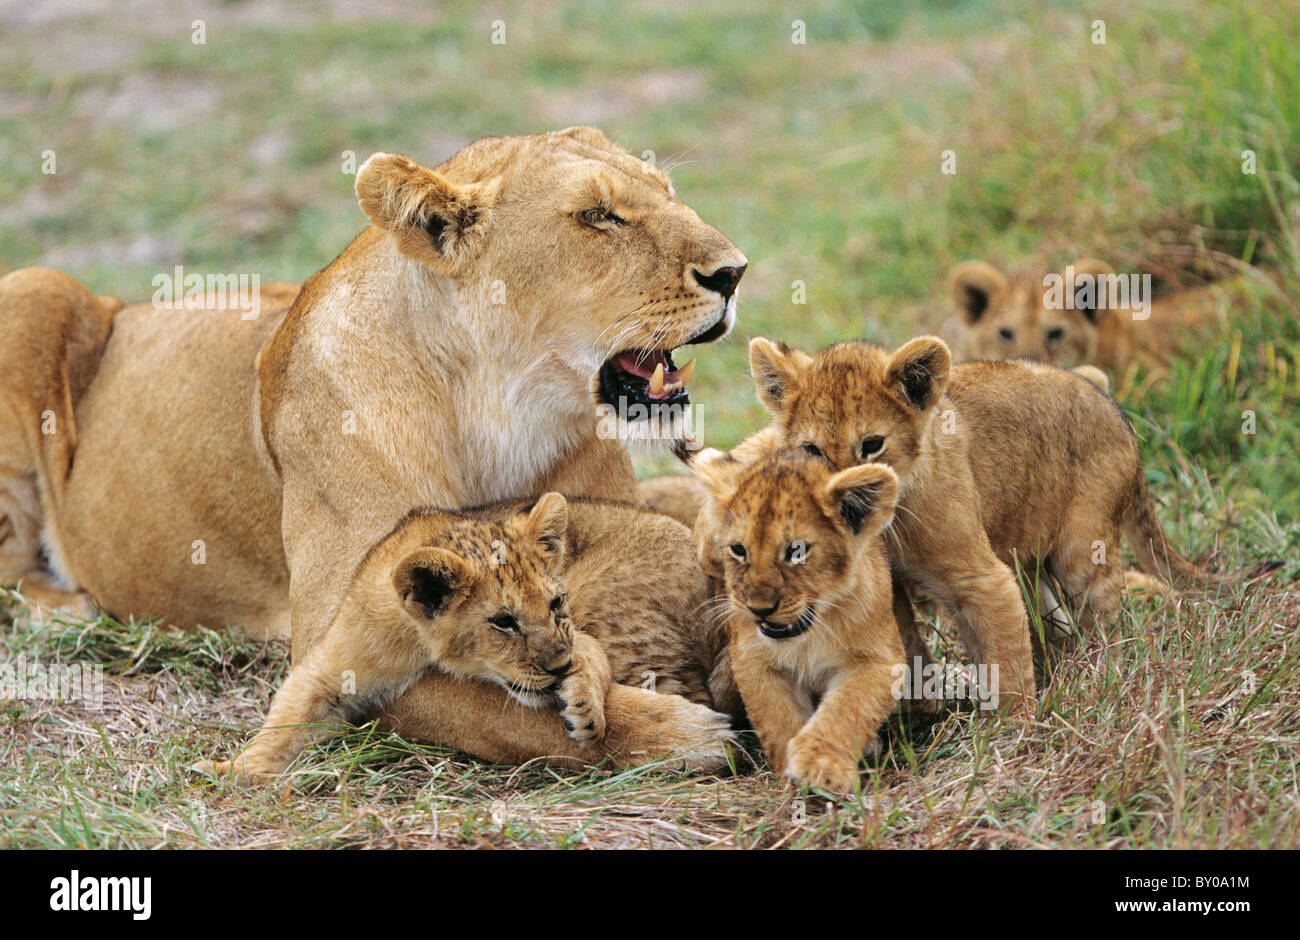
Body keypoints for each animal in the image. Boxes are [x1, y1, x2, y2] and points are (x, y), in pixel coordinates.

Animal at [202, 492, 735, 781]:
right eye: (503, 622)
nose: (558, 669)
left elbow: (588, 653)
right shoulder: (334, 666)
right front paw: (233, 773)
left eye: (554, 604)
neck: (420, 646)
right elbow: (288, 717)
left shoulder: (574, 629)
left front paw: (583, 705)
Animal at [688, 447, 906, 793]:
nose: (759, 608)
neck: (810, 633)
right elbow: (778, 717)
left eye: (797, 550)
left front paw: (822, 765)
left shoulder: (881, 659)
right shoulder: (752, 660)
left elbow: (847, 708)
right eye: (738, 549)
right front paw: (790, 773)